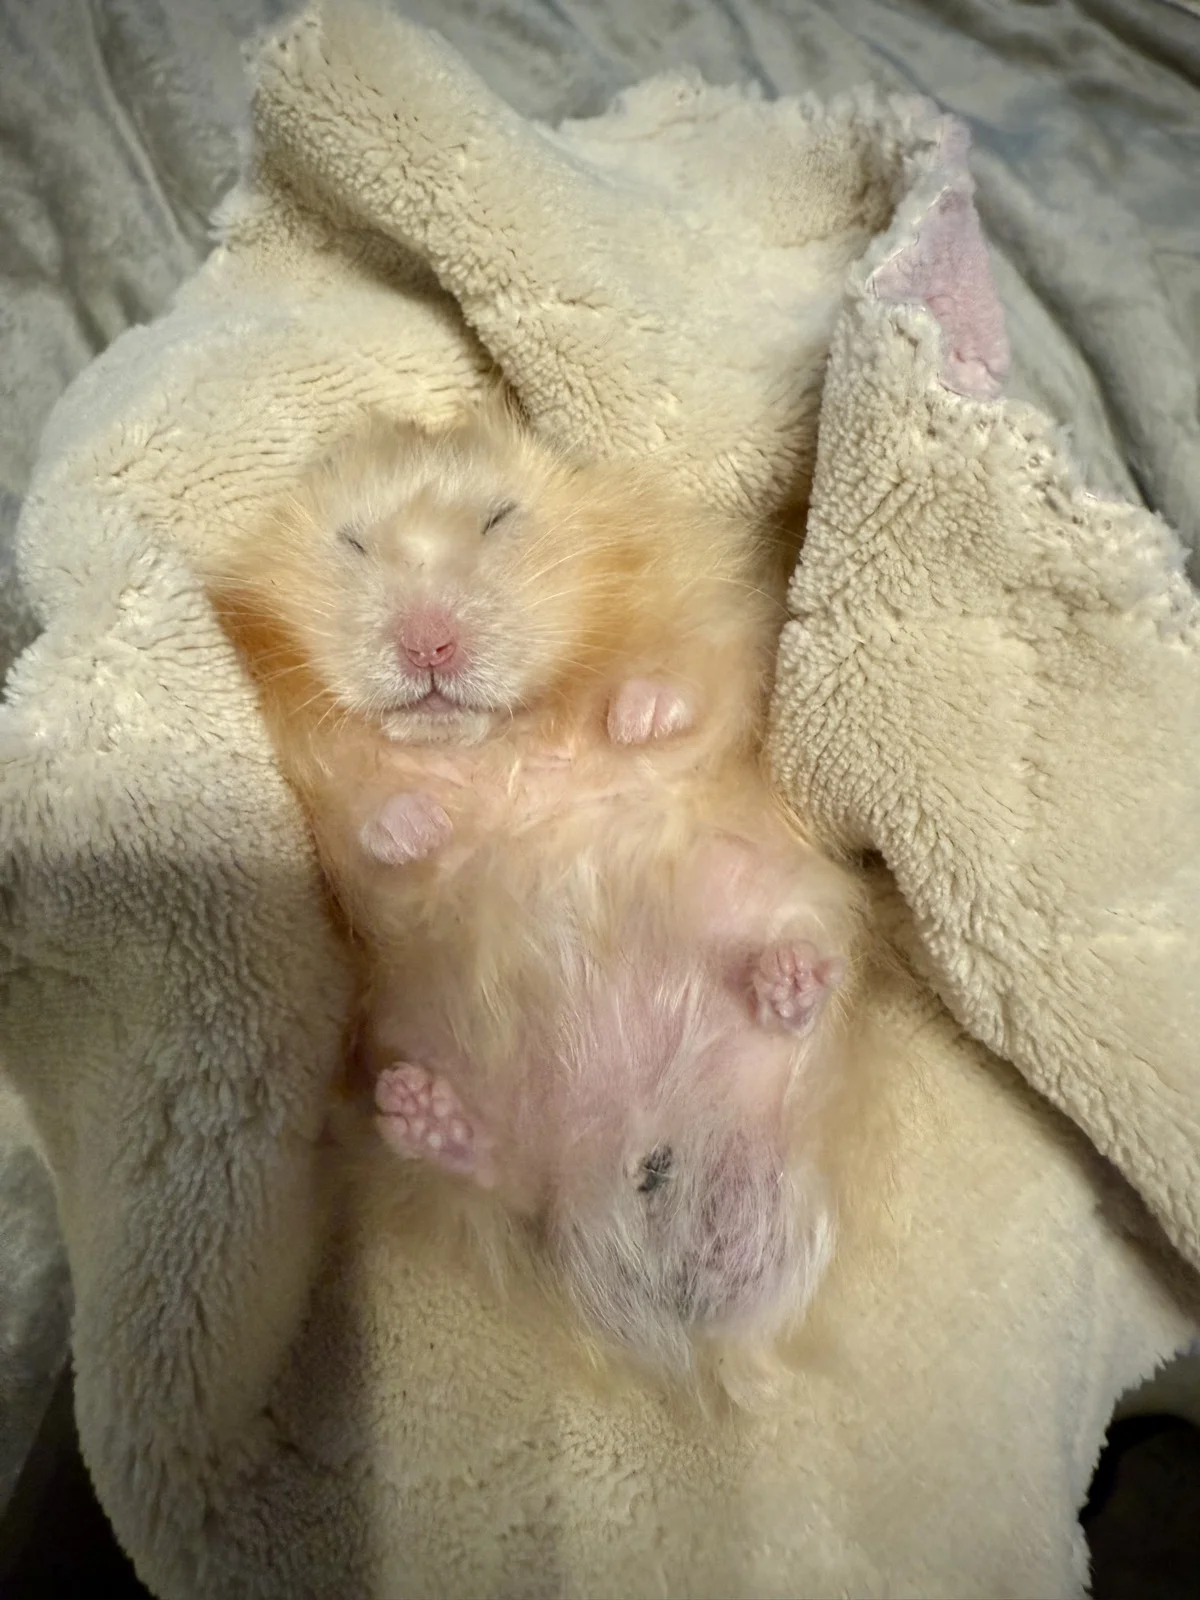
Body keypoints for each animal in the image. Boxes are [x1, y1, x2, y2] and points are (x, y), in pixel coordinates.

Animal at [210, 403, 864, 1377]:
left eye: (500, 520)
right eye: (351, 542)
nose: (429, 643)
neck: (494, 736)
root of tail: (631, 1154)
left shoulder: (713, 606)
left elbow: (693, 676)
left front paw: (637, 717)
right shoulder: (305, 762)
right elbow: (360, 803)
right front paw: (416, 829)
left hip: (763, 902)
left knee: (793, 1011)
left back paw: (785, 980)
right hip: (441, 1050)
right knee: (500, 1177)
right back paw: (424, 1114)